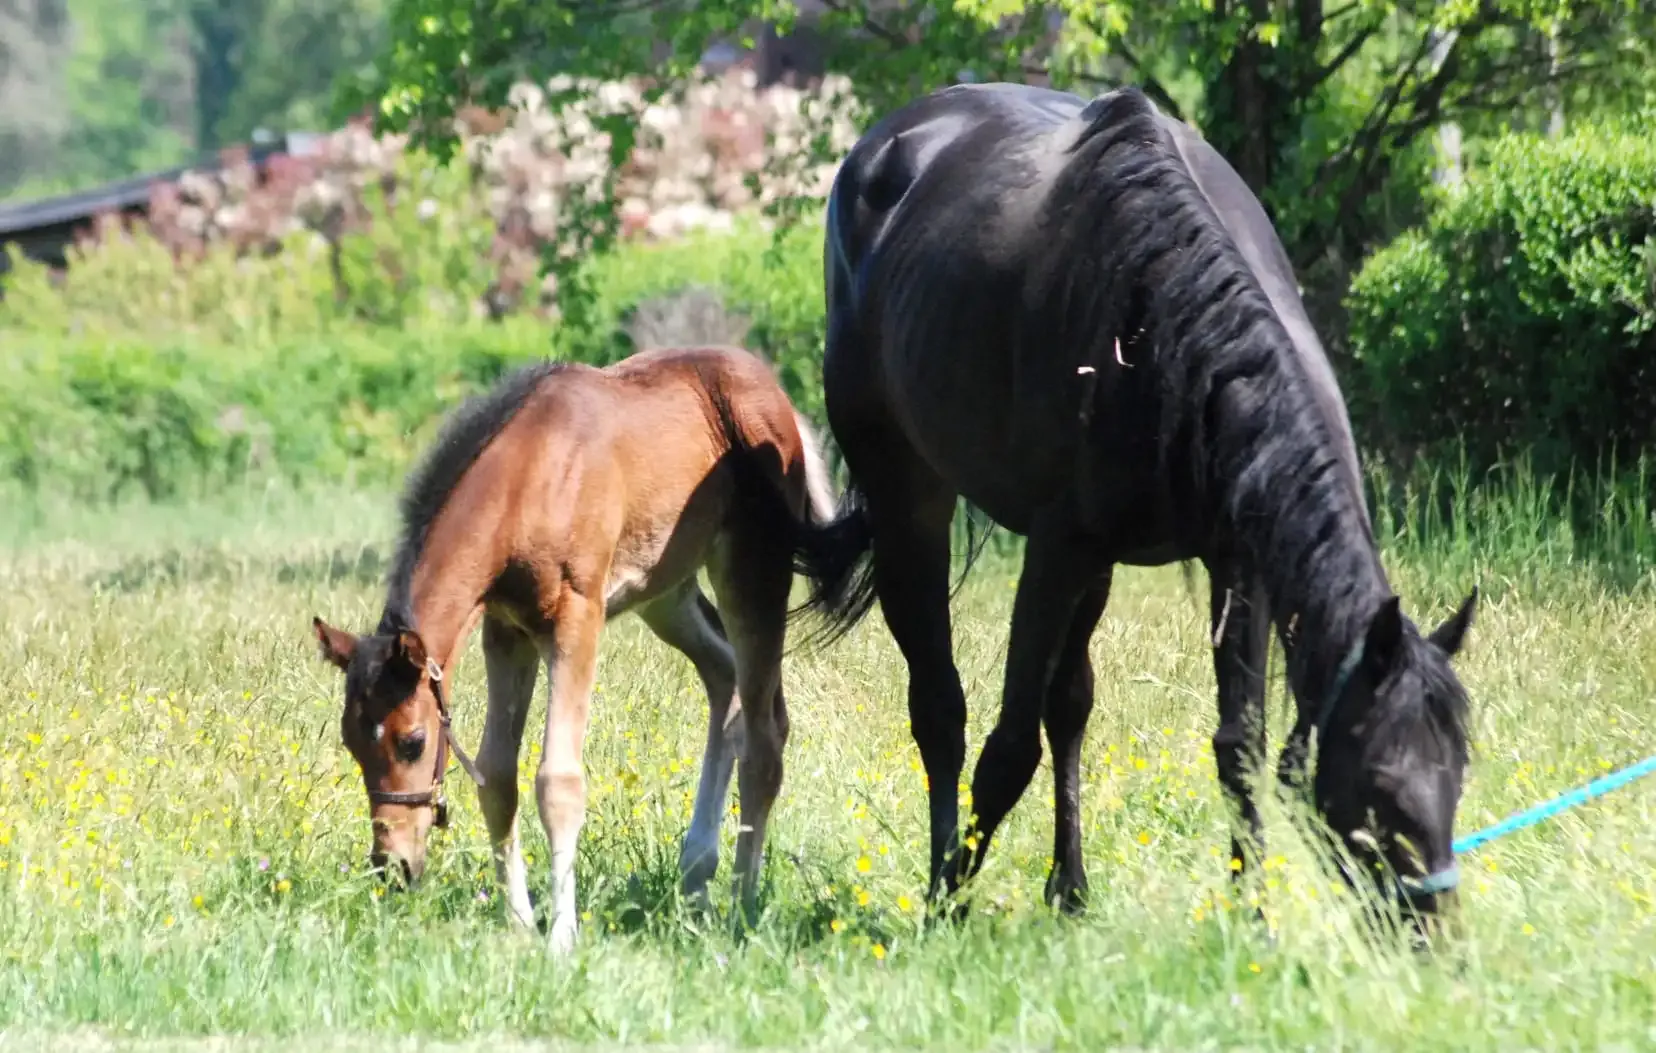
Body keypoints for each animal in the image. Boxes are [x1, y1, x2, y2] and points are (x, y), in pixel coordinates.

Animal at [311, 312, 837, 953]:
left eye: (412, 742)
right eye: (351, 742)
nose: (392, 865)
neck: (528, 478)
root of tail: (783, 404)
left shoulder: (575, 619)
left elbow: (557, 781)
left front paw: (562, 936)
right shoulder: (505, 630)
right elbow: (496, 777)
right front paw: (518, 922)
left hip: (750, 573)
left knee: (766, 733)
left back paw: (743, 905)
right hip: (667, 593)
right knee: (724, 677)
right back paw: (695, 875)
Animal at [796, 82, 1479, 928]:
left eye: (1459, 773)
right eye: (1381, 783)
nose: (1430, 932)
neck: (1179, 349)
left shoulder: (1238, 563)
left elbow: (1239, 746)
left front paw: (1252, 915)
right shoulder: (1056, 551)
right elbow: (1007, 747)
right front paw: (950, 899)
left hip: (1098, 567)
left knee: (1068, 703)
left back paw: (1069, 886)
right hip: (911, 504)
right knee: (941, 707)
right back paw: (942, 879)